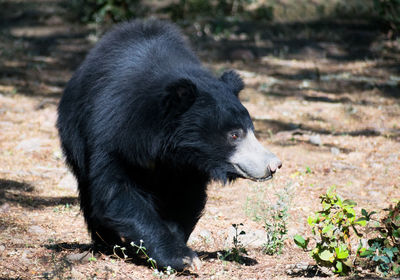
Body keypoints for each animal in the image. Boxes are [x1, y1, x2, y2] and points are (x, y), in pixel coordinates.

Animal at [57, 19, 282, 270]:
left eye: (251, 130)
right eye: (234, 135)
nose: (274, 165)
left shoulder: (189, 165)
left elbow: (185, 198)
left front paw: (177, 246)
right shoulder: (110, 135)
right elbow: (116, 191)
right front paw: (182, 257)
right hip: (74, 135)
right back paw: (108, 244)